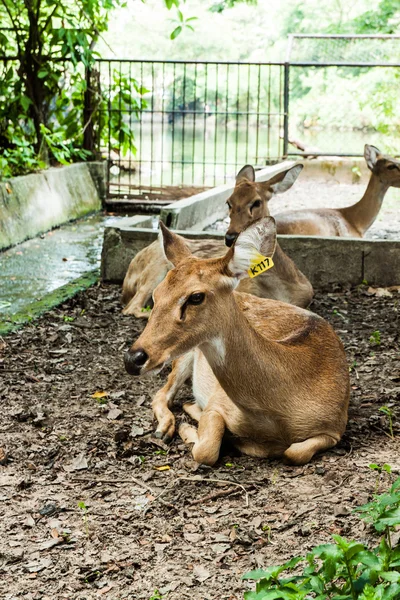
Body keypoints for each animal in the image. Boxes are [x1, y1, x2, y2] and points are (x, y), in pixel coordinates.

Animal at [125, 218, 350, 466]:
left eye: (196, 296)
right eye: (156, 294)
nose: (133, 358)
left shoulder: (336, 426)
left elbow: (294, 452)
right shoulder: (217, 402)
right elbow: (206, 450)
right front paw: (193, 428)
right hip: (185, 356)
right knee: (161, 393)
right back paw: (166, 429)